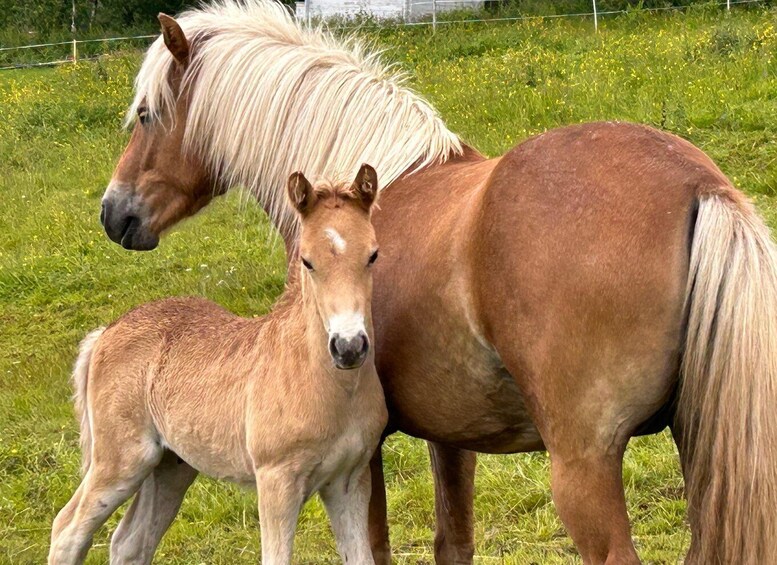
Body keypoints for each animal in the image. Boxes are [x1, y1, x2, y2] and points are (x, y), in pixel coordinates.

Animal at [48, 164, 384, 564]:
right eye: (307, 261)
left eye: (373, 255)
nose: (348, 347)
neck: (326, 383)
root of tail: (107, 331)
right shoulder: (276, 481)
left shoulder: (348, 480)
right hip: (121, 459)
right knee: (67, 530)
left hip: (170, 464)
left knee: (130, 541)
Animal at [97, 2, 776, 560]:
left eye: (147, 115)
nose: (114, 213)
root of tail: (698, 185)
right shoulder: (451, 436)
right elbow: (453, 542)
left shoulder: (360, 454)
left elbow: (372, 547)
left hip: (584, 467)